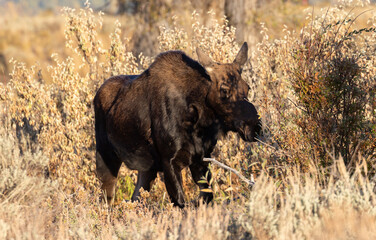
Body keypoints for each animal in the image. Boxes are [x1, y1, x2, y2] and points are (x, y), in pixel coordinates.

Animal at [93, 43, 262, 208]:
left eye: (247, 87)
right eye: (224, 89)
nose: (254, 126)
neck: (198, 121)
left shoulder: (201, 158)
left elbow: (206, 196)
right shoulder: (169, 161)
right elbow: (181, 203)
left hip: (147, 170)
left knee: (136, 197)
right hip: (105, 155)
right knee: (106, 199)